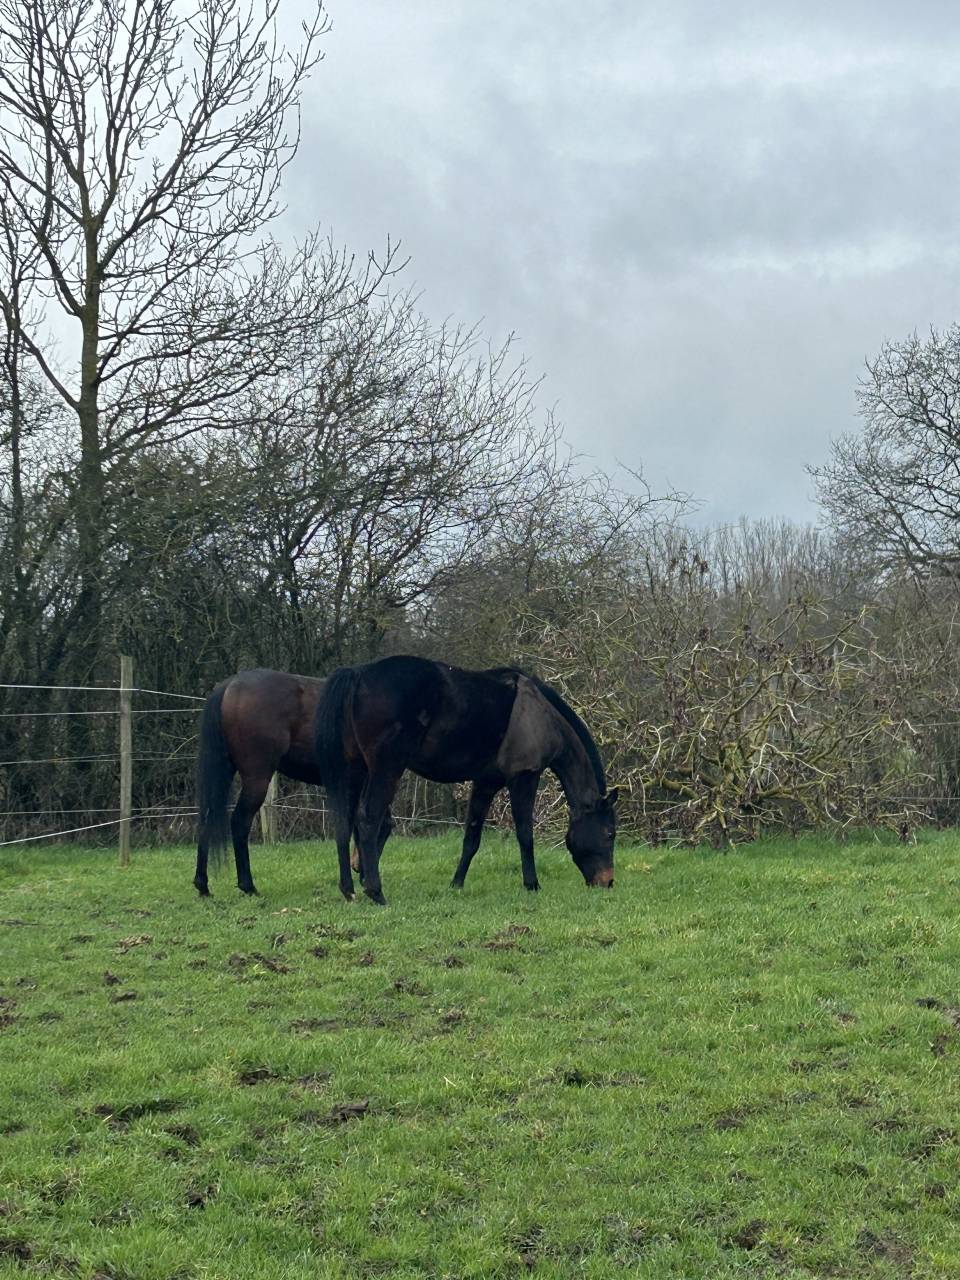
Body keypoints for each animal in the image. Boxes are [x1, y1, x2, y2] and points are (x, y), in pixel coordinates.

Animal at [193, 669, 391, 896]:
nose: (357, 867)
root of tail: (229, 685)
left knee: (207, 819)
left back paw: (203, 884)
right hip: (256, 780)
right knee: (239, 822)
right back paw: (248, 886)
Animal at [314, 654, 618, 905]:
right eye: (609, 833)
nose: (607, 881)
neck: (540, 713)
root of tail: (359, 673)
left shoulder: (485, 784)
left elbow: (471, 838)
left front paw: (456, 883)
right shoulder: (524, 778)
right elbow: (525, 834)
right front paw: (532, 884)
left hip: (355, 771)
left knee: (344, 821)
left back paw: (348, 889)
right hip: (385, 770)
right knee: (367, 820)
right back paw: (375, 891)